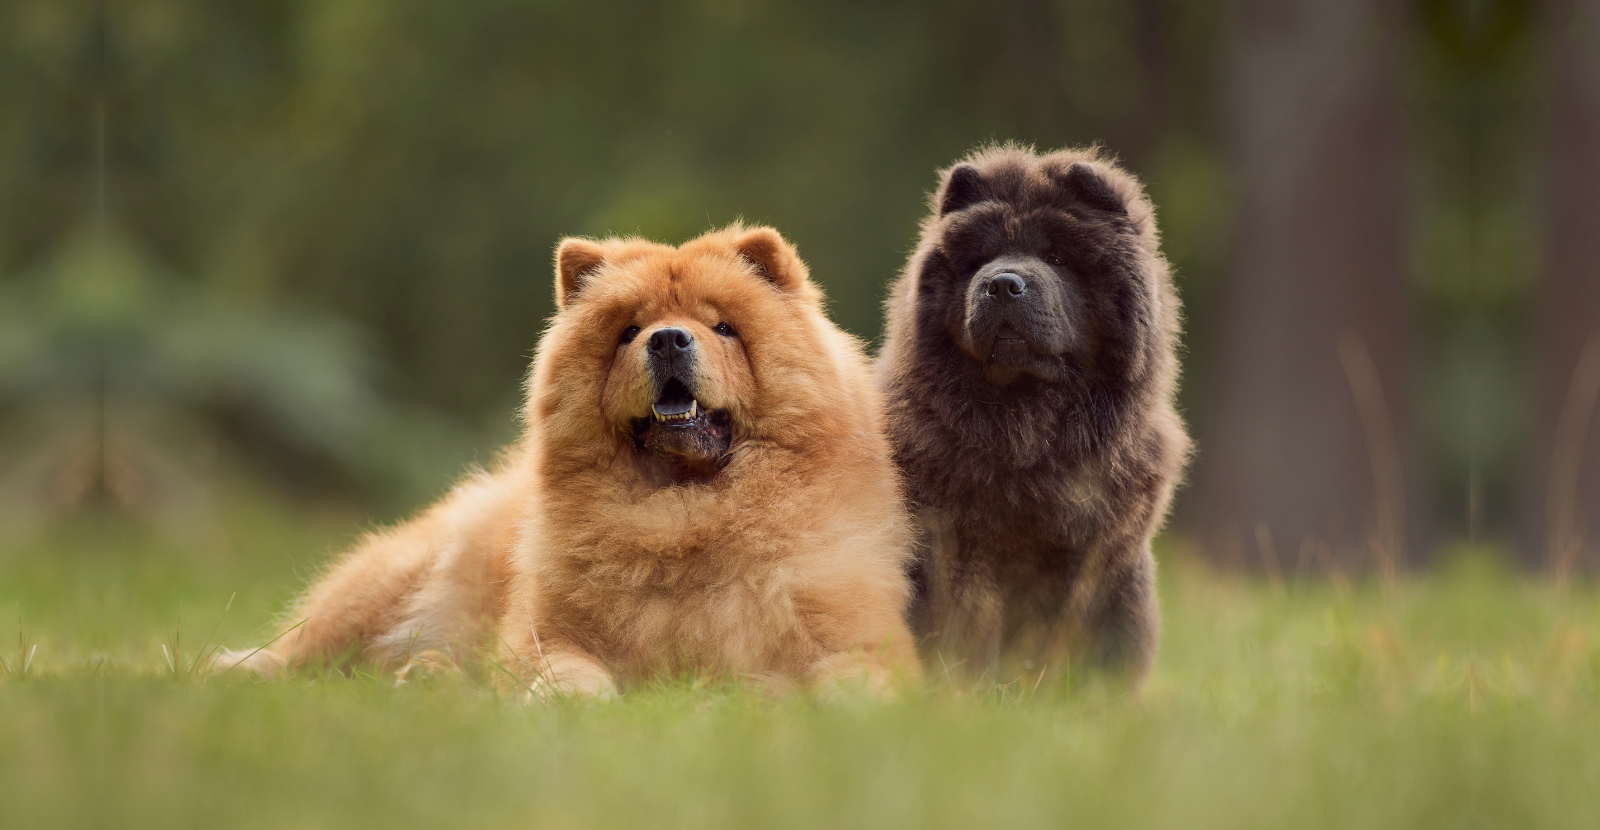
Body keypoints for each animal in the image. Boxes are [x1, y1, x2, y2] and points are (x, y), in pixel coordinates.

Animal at [227, 223, 928, 697]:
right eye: (629, 331)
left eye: (723, 327)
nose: (667, 339)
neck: (686, 513)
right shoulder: (546, 633)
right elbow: (564, 669)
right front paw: (567, 701)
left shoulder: (859, 633)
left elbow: (855, 677)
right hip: (383, 588)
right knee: (302, 651)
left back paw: (426, 676)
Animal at [876, 144, 1190, 687]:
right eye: (979, 261)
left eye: (1057, 257)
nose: (1002, 284)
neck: (1031, 436)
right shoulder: (961, 554)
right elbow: (967, 632)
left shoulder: (1092, 560)